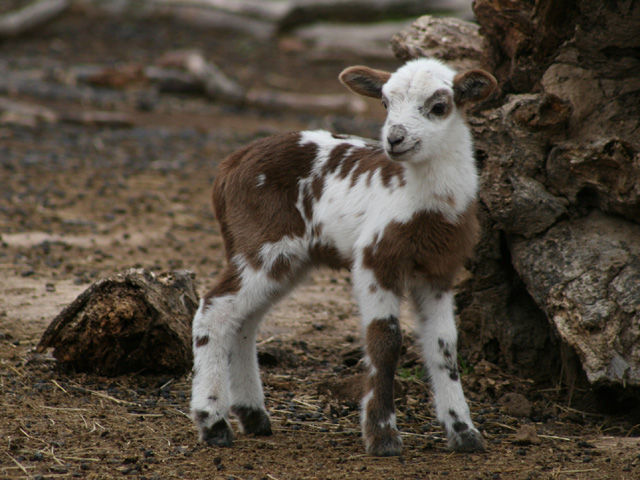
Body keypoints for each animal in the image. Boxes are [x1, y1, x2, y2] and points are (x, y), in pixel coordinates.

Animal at [191, 58, 500, 456]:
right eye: (384, 103)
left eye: (439, 106)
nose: (394, 139)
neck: (426, 203)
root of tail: (229, 165)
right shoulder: (374, 258)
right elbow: (385, 340)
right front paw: (382, 436)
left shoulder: (439, 270)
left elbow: (445, 346)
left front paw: (464, 432)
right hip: (262, 243)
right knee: (214, 309)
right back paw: (213, 422)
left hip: (286, 258)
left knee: (244, 321)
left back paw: (253, 416)